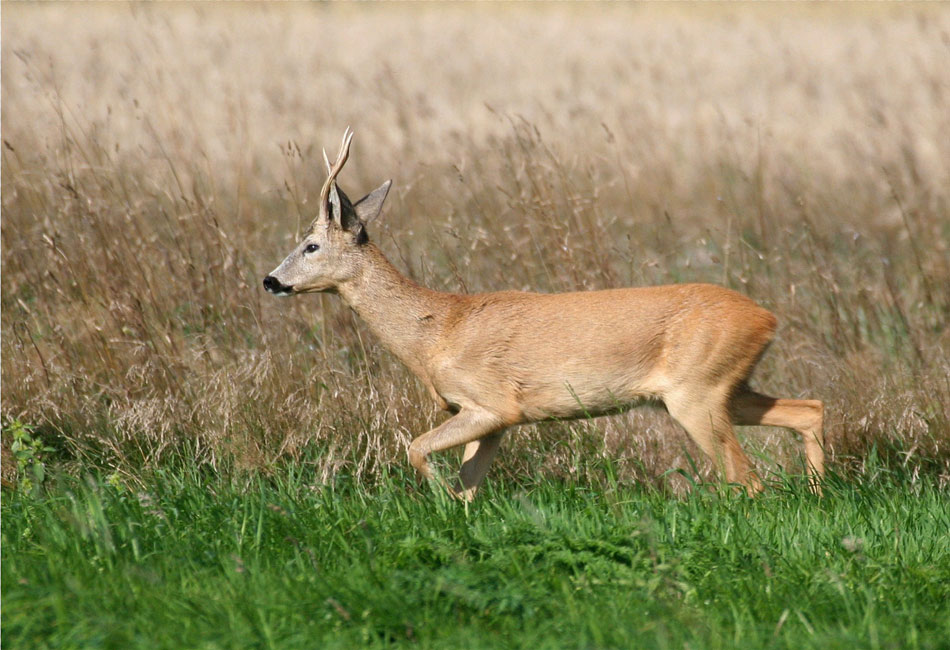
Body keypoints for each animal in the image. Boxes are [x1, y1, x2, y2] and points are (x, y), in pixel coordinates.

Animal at [266, 129, 824, 498]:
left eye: (311, 245)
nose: (271, 280)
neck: (436, 332)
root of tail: (768, 319)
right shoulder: (489, 419)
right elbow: (469, 484)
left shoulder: (494, 403)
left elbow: (416, 449)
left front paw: (439, 505)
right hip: (722, 387)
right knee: (809, 409)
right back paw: (819, 492)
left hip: (698, 391)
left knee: (748, 479)